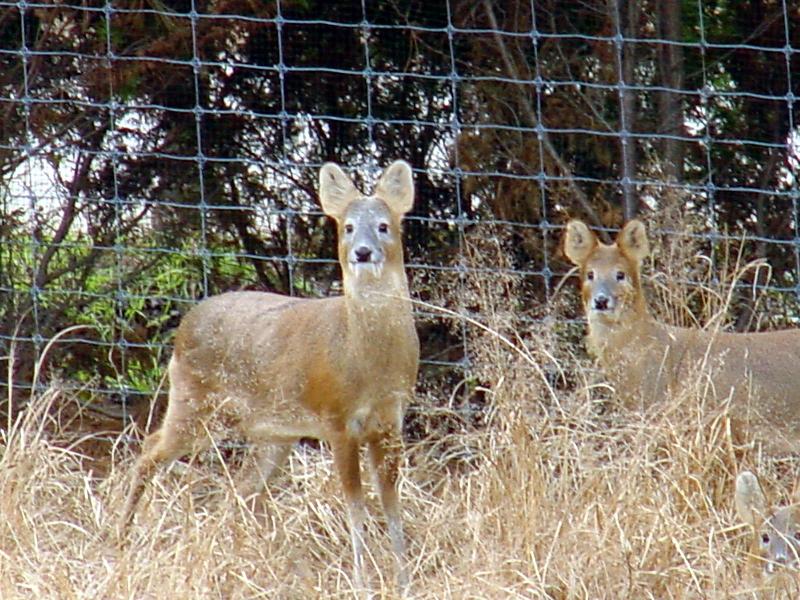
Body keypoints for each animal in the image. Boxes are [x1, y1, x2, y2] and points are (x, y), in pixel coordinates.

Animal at [119, 158, 422, 592]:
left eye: (384, 225)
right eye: (347, 227)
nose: (363, 252)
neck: (364, 360)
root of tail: (185, 325)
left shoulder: (390, 421)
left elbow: (391, 503)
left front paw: (404, 580)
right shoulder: (338, 420)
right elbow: (355, 506)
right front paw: (362, 583)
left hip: (272, 434)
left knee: (237, 492)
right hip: (195, 402)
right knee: (149, 450)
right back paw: (121, 538)